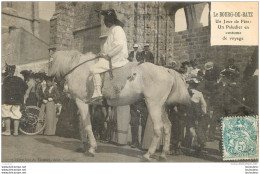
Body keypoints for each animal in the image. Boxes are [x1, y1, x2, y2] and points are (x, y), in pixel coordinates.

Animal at [49, 49, 191, 161]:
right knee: (167, 127)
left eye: (49, 63)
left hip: (153, 105)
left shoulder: (81, 102)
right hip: (162, 107)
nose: (61, 91)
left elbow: (88, 126)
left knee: (158, 128)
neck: (80, 69)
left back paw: (148, 155)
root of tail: (167, 70)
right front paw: (84, 145)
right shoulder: (86, 104)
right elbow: (83, 124)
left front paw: (91, 148)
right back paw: (163, 154)